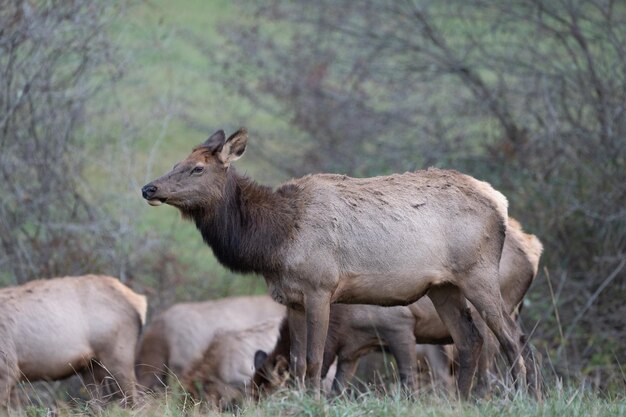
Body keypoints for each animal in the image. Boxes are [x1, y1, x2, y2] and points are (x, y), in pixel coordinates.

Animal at [251, 218, 540, 396]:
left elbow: (408, 381)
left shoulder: (399, 325)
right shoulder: (352, 349)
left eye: (272, 393)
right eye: (251, 392)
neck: (341, 322)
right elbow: (337, 389)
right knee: (522, 344)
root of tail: (534, 250)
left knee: (492, 360)